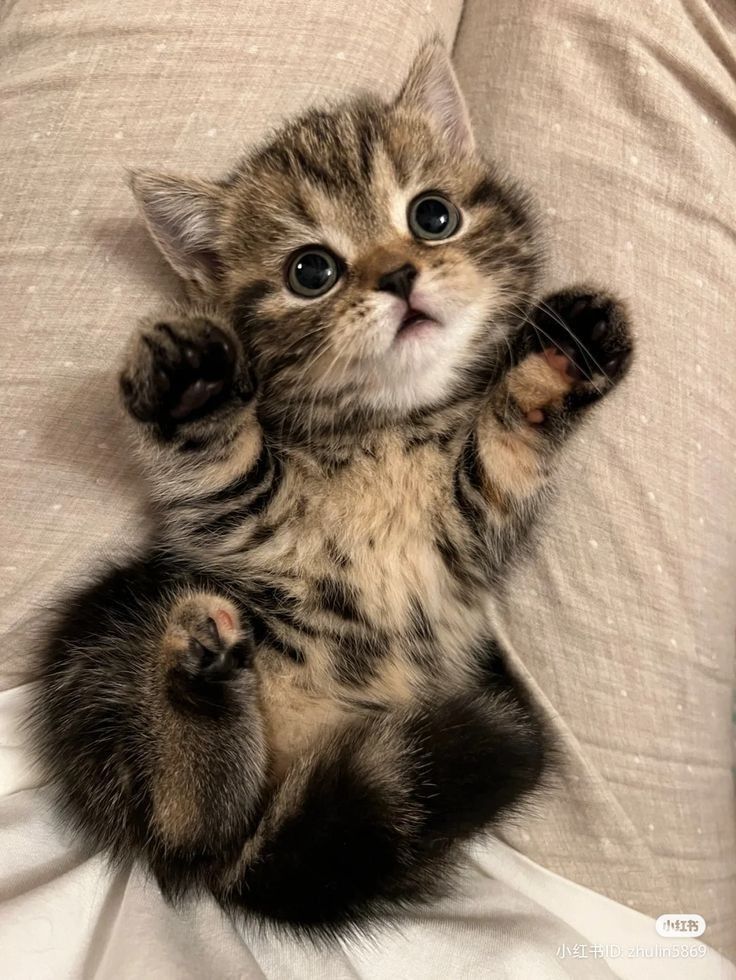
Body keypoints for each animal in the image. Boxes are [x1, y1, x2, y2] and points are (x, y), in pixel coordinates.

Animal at [33, 42, 632, 936]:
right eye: (310, 271)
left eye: (433, 216)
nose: (401, 276)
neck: (386, 430)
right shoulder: (236, 518)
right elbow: (218, 459)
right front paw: (189, 384)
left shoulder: (476, 519)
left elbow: (507, 444)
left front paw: (555, 360)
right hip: (115, 626)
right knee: (194, 833)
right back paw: (199, 682)